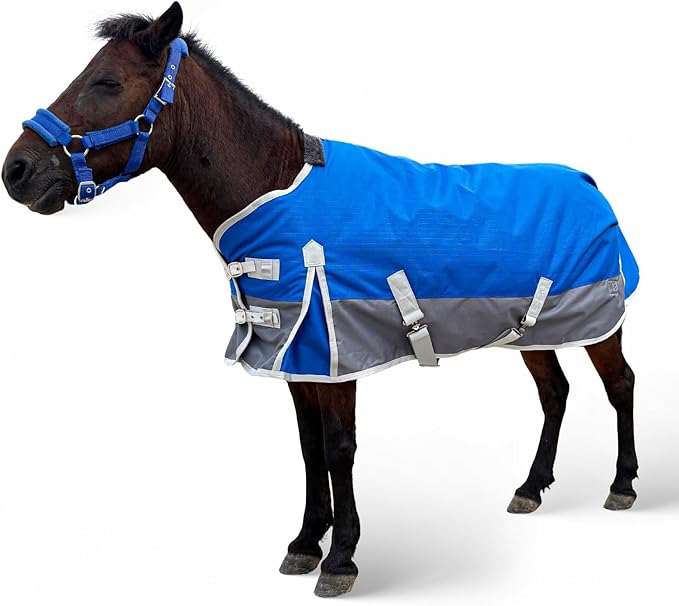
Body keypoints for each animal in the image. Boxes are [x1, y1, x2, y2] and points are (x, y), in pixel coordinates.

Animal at [2, 3, 639, 598]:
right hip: (536, 329)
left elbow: (338, 449)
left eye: (107, 81)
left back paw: (622, 485)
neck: (274, 191)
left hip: (598, 325)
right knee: (554, 393)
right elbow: (309, 449)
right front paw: (306, 543)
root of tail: (586, 182)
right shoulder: (296, 356)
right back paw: (530, 488)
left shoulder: (337, 353)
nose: (17, 170)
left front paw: (342, 559)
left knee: (619, 384)